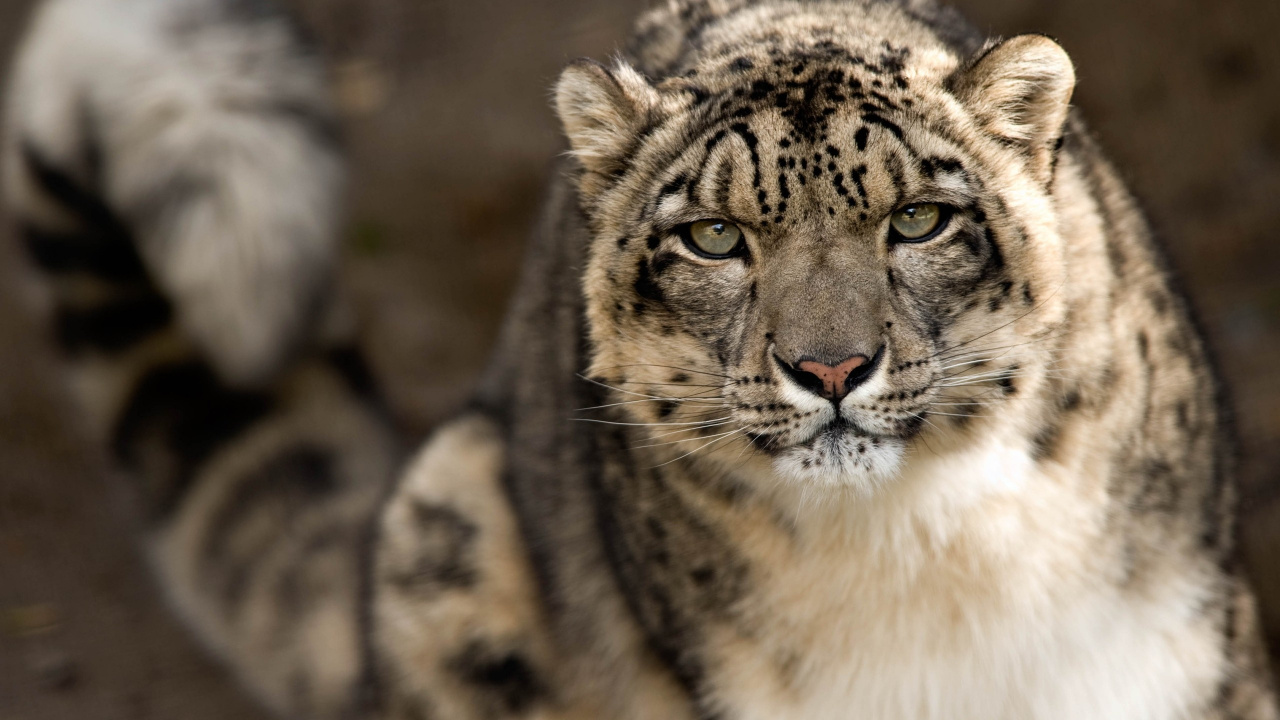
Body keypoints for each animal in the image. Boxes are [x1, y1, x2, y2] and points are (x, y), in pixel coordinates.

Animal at [5, 0, 1276, 718]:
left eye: (917, 220)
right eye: (712, 236)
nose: (829, 369)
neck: (932, 555)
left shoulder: (1184, 659)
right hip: (445, 533)